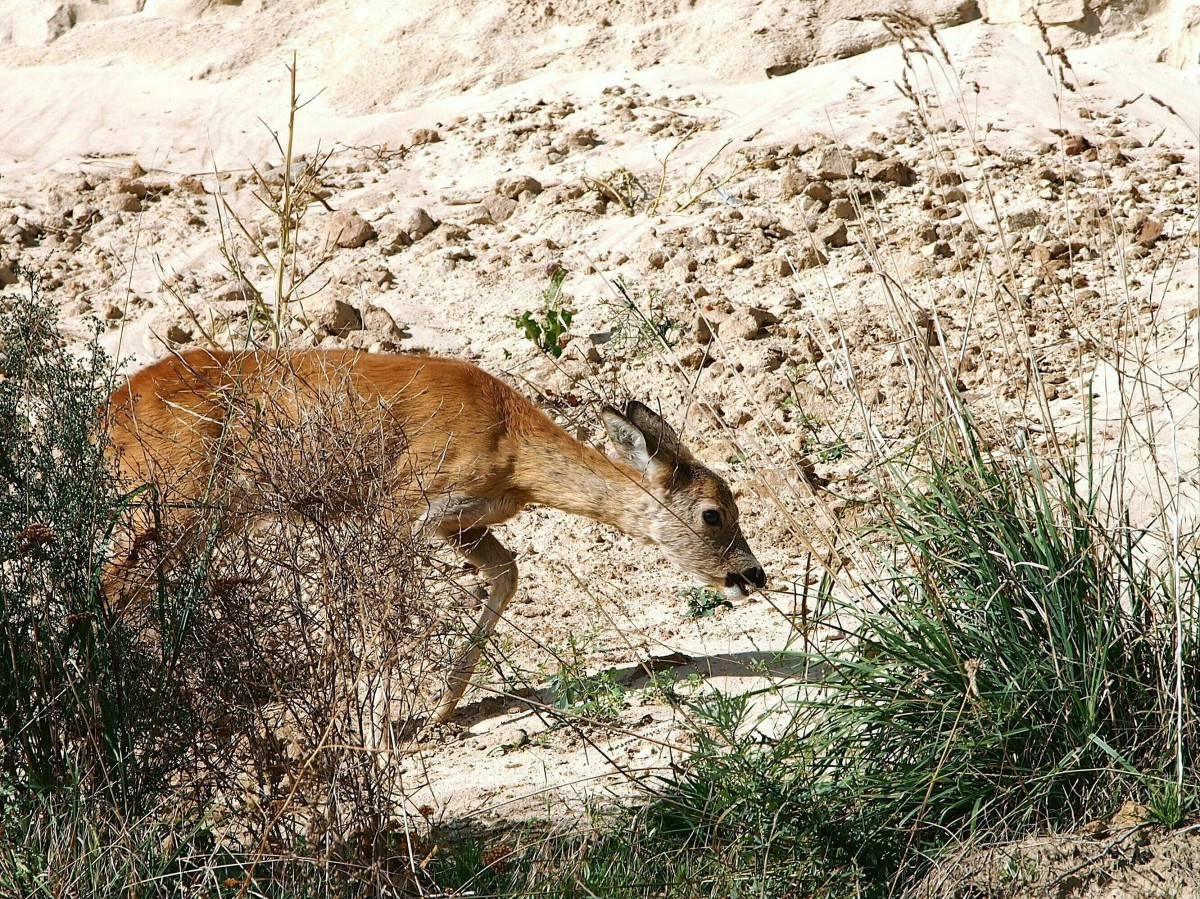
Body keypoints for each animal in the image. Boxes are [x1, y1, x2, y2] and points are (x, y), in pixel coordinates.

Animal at [103, 348, 758, 720]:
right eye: (713, 513)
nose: (753, 574)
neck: (510, 449)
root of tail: (107, 414)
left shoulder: (462, 521)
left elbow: (507, 572)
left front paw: (444, 706)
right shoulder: (407, 501)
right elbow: (387, 603)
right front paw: (386, 723)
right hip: (168, 503)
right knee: (112, 589)